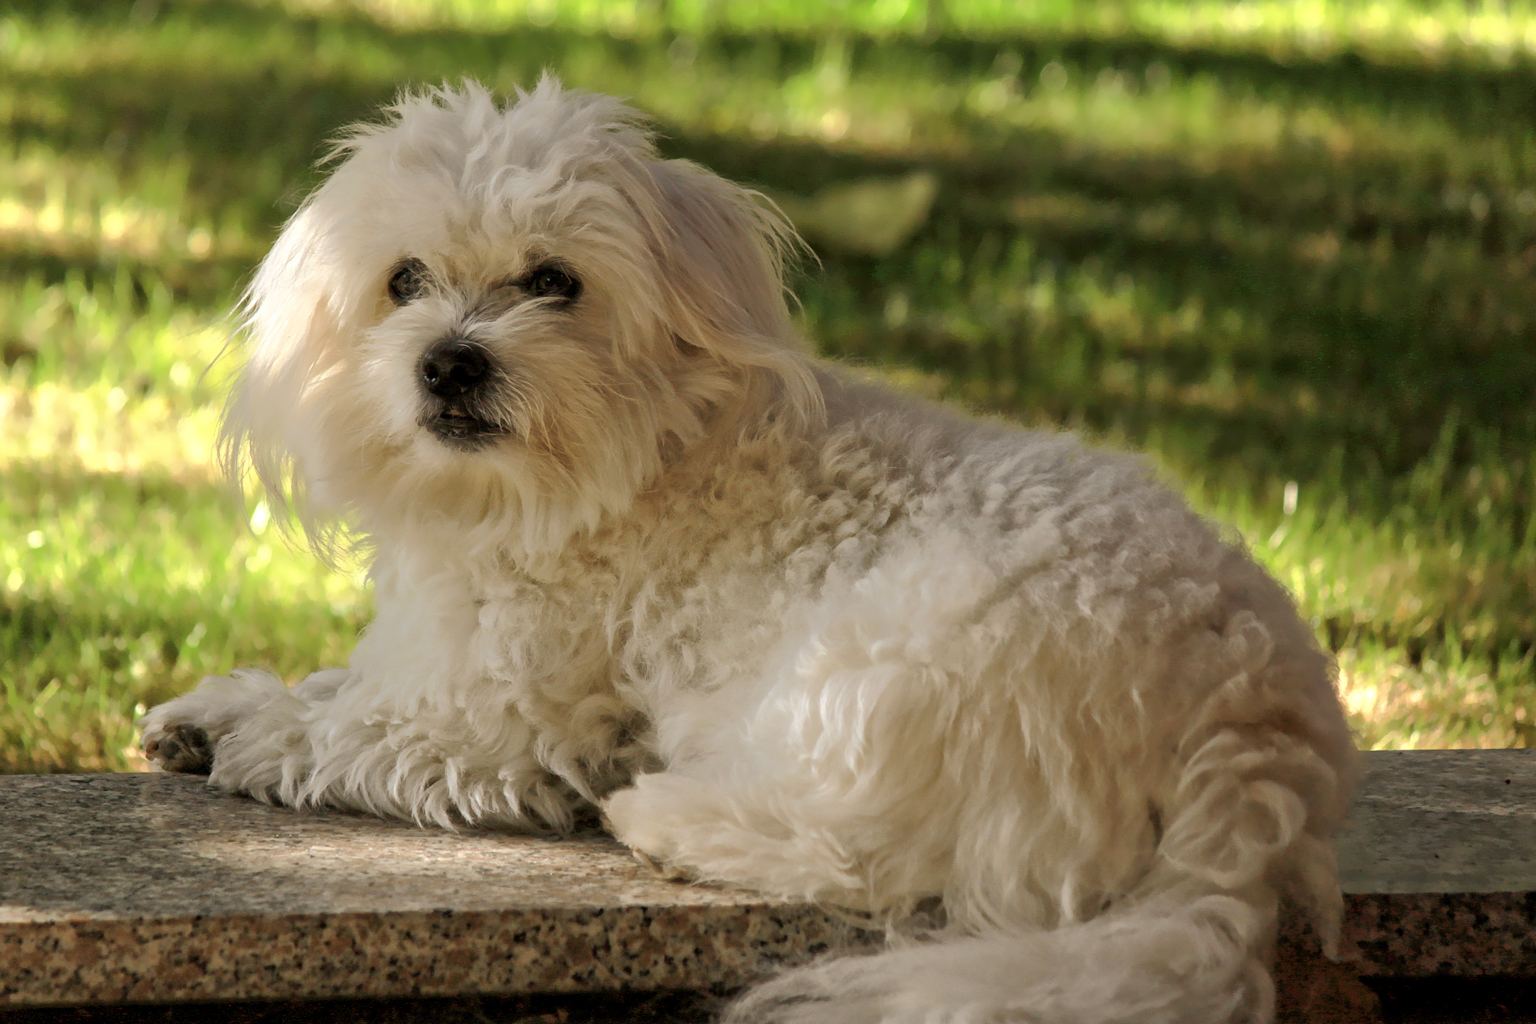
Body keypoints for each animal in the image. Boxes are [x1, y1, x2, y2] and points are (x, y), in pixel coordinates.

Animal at [138, 80, 1351, 1024]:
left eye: (553, 281)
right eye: (403, 280)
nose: (449, 361)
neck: (627, 462)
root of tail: (1257, 731)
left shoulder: (497, 723)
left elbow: (352, 727)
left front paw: (259, 732)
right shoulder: (433, 652)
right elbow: (343, 682)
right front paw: (220, 707)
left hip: (886, 659)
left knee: (860, 856)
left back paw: (662, 815)